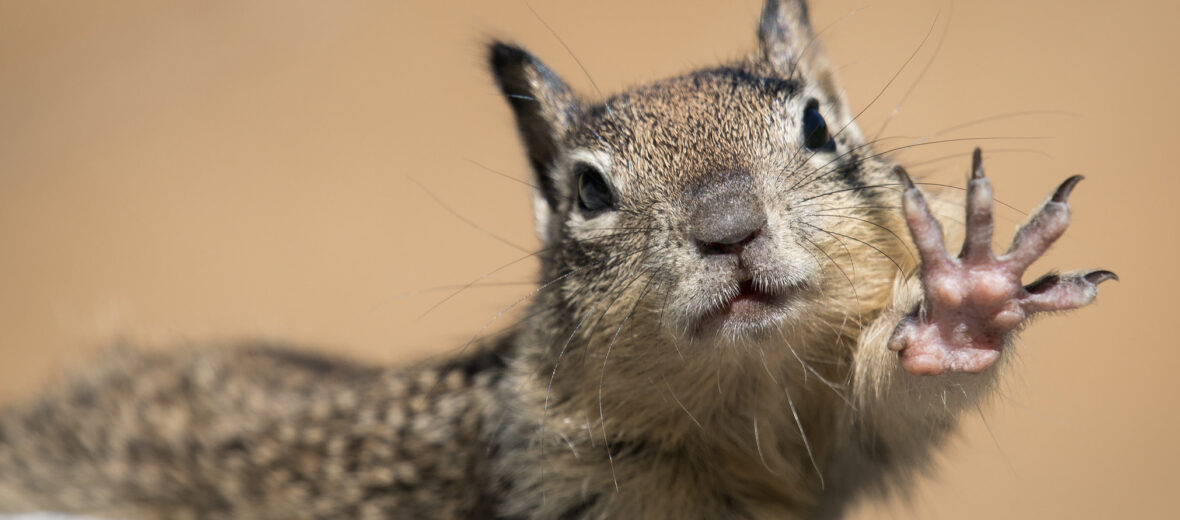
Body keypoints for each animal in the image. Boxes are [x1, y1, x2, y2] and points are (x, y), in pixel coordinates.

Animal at [0, 2, 1113, 516]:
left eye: (814, 125)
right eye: (587, 190)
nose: (727, 226)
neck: (743, 401)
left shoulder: (840, 437)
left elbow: (898, 402)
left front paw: (961, 304)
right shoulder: (546, 463)